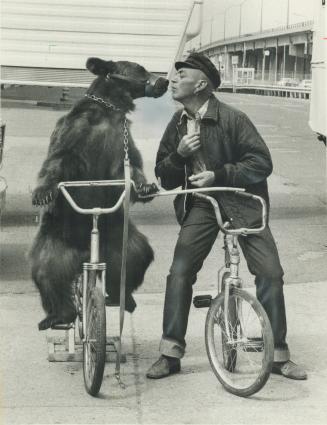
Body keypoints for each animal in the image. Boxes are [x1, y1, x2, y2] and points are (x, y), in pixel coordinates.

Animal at [30, 56, 169, 330]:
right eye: (141, 68)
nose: (165, 81)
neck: (110, 110)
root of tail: (86, 252)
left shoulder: (121, 138)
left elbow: (130, 168)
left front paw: (146, 187)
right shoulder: (77, 129)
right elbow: (59, 159)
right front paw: (43, 192)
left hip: (118, 237)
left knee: (137, 256)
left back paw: (123, 298)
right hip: (54, 241)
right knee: (45, 272)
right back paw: (57, 315)